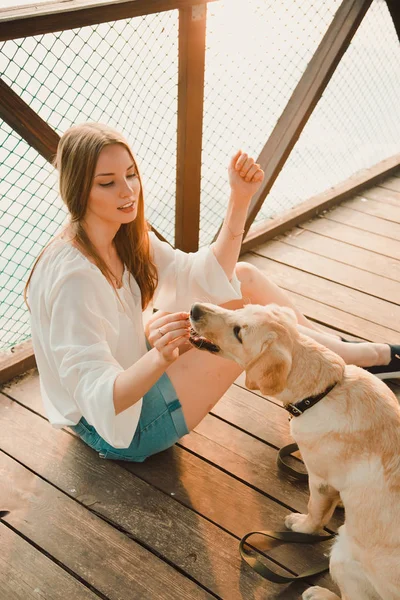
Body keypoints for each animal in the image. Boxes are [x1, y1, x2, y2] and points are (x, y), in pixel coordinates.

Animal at [190, 302, 400, 600]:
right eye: (243, 307)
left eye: (239, 332)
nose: (195, 308)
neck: (323, 391)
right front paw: (340, 505)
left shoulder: (320, 480)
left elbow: (315, 511)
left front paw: (302, 526)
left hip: (342, 553)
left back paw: (319, 593)